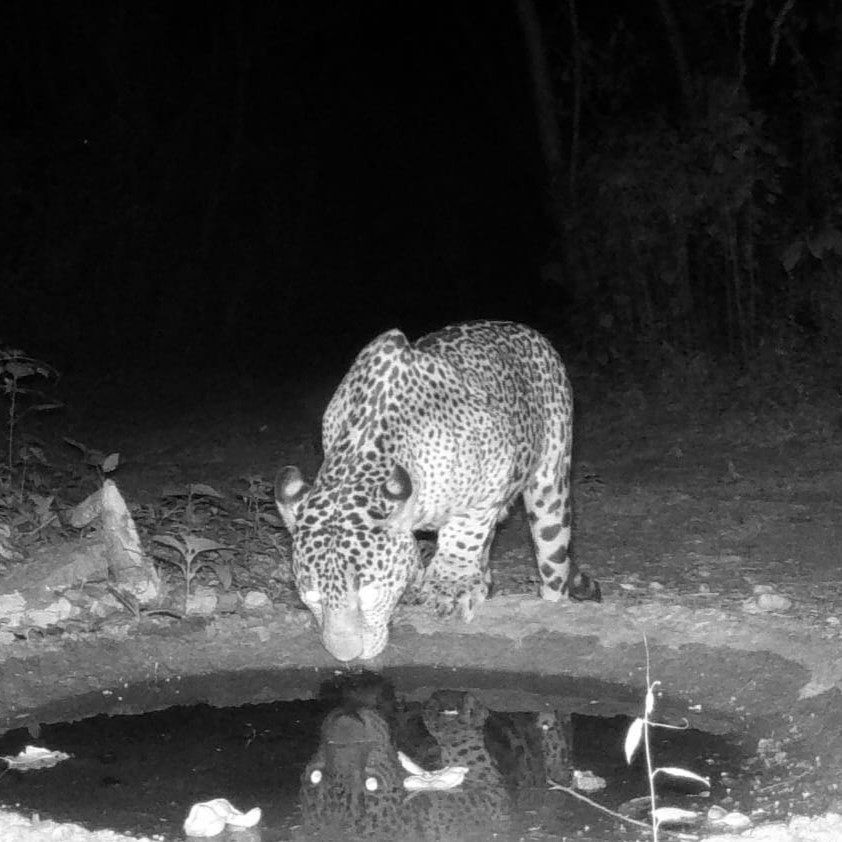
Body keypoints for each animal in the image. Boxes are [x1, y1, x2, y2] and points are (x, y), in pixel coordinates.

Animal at [276, 320, 600, 661]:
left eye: (369, 592)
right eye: (312, 595)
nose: (345, 655)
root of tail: (525, 330)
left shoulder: (495, 466)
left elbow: (465, 531)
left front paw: (449, 585)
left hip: (551, 483)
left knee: (553, 564)